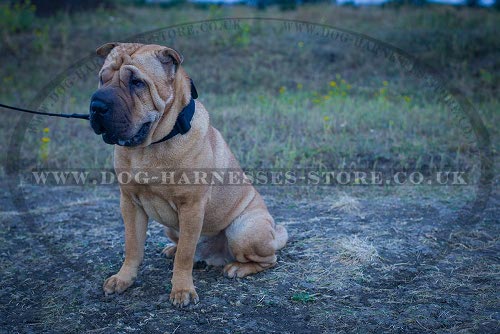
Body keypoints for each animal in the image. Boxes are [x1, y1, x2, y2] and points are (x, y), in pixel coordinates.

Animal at [88, 43, 288, 306]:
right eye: (103, 78)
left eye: (137, 82)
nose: (97, 105)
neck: (153, 144)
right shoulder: (130, 203)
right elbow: (132, 246)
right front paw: (123, 279)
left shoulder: (191, 206)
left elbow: (184, 255)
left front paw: (182, 290)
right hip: (171, 228)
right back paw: (174, 250)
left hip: (243, 230)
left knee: (268, 259)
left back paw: (237, 267)